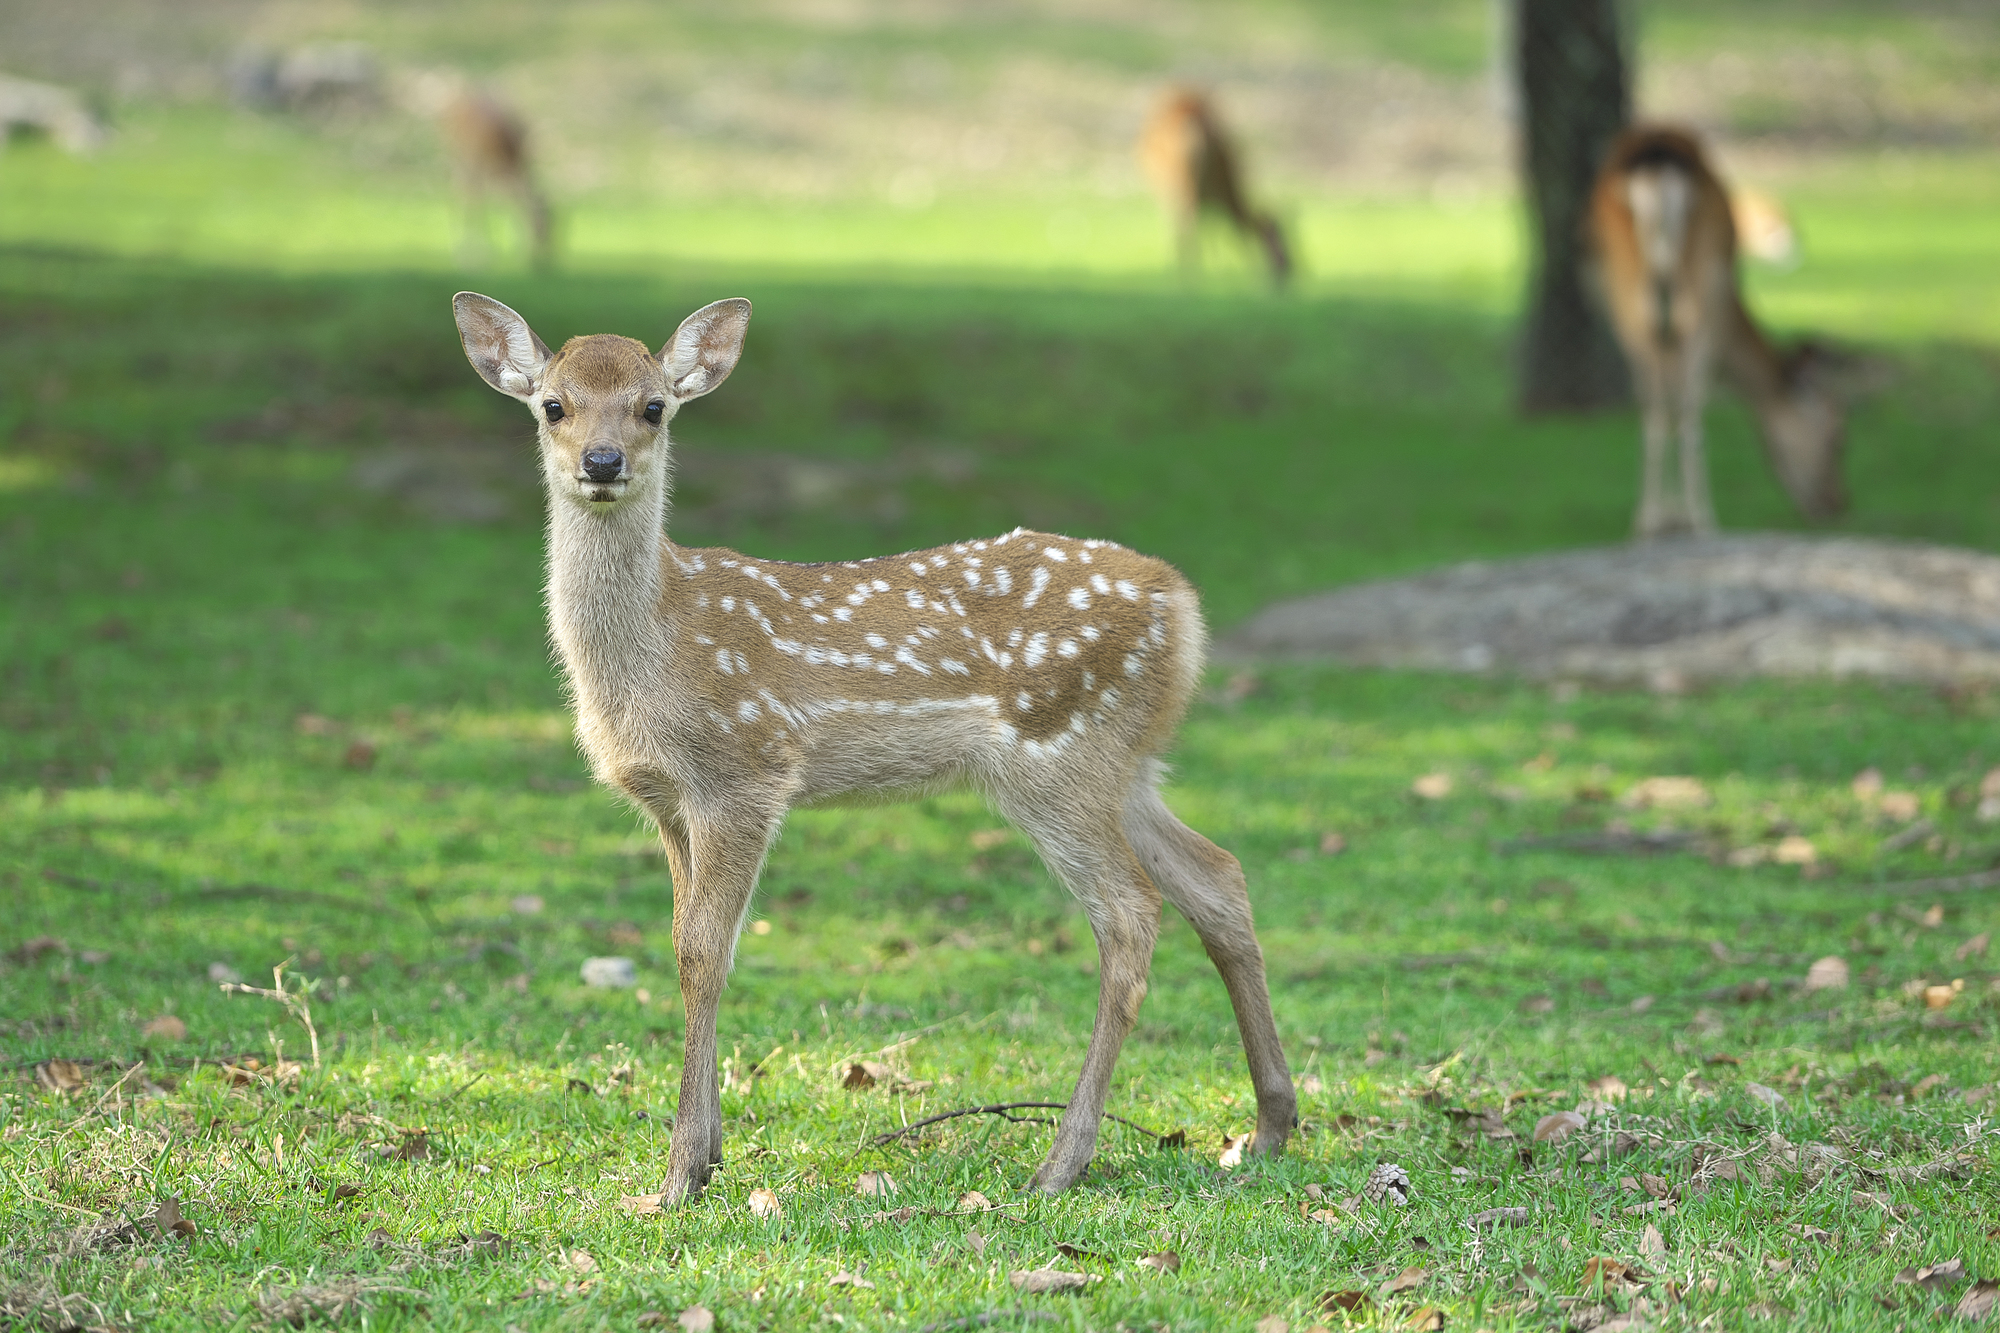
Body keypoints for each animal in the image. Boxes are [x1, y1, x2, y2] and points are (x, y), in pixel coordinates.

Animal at [452, 294, 1296, 1200]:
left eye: (654, 406)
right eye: (553, 405)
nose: (603, 461)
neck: (655, 646)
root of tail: (1183, 605)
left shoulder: (745, 771)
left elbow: (704, 952)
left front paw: (678, 1177)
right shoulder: (670, 800)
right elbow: (684, 944)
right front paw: (705, 1154)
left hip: (1058, 757)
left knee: (1132, 913)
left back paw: (1060, 1162)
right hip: (1124, 766)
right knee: (1217, 877)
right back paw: (1267, 1128)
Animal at [1136, 90, 1288, 286]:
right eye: (1280, 240)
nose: (1288, 269)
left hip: (1180, 185)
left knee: (1188, 225)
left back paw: (1190, 275)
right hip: (1180, 185)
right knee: (1189, 225)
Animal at [1584, 124, 1848, 536]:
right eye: (1838, 438)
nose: (1837, 504)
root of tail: (1657, 163)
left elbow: (1665, 395)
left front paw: (1668, 512)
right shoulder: (1718, 306)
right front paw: (1680, 512)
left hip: (1628, 288)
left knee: (1655, 404)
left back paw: (1648, 519)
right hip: (1700, 280)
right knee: (1689, 406)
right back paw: (1701, 516)